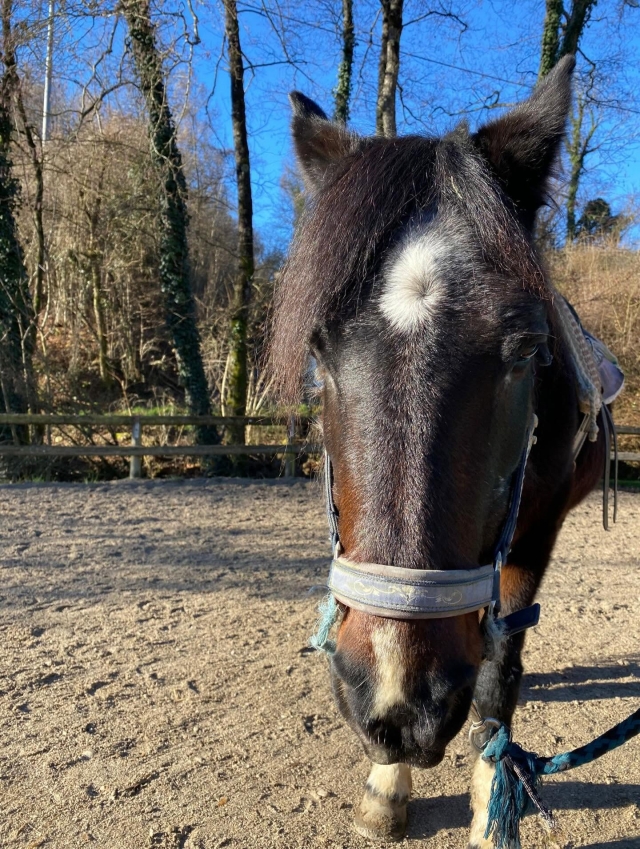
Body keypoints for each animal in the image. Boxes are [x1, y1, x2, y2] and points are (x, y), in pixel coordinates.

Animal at [269, 55, 610, 847]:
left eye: (526, 350)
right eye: (319, 352)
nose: (400, 700)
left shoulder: (536, 532)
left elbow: (502, 660)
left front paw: (491, 800)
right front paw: (385, 784)